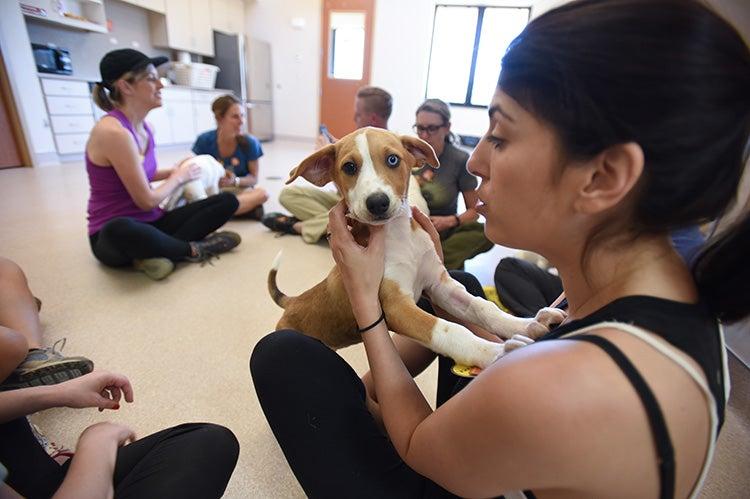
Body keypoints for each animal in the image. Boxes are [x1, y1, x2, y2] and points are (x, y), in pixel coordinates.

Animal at [268, 128, 568, 372]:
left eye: (392, 160)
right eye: (349, 167)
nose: (377, 202)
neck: (399, 236)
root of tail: (292, 302)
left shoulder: (439, 285)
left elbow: (483, 307)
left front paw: (525, 323)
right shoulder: (397, 306)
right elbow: (449, 330)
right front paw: (498, 353)